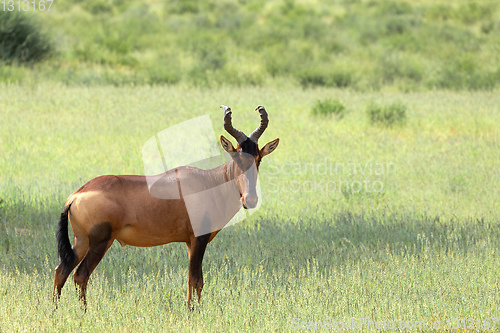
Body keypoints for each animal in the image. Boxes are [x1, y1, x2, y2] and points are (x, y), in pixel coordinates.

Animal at [53, 104, 280, 308]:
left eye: (258, 158)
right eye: (236, 157)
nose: (250, 199)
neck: (208, 182)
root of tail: (76, 195)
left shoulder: (190, 242)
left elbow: (198, 281)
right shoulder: (198, 239)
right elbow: (194, 279)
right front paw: (192, 313)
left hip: (82, 241)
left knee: (61, 270)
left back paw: (55, 310)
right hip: (100, 241)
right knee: (80, 275)